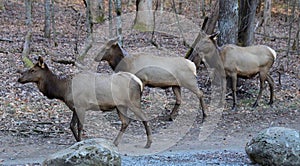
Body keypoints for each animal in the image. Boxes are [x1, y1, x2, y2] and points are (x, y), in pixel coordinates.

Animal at [17, 56, 152, 148]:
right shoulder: (75, 107)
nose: (19, 78)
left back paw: (148, 143)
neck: (62, 90)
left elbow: (80, 126)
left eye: (33, 70)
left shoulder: (81, 105)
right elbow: (71, 125)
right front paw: (77, 142)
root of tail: (139, 82)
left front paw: (81, 142)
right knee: (126, 121)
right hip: (121, 105)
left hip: (133, 101)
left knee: (144, 117)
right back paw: (115, 143)